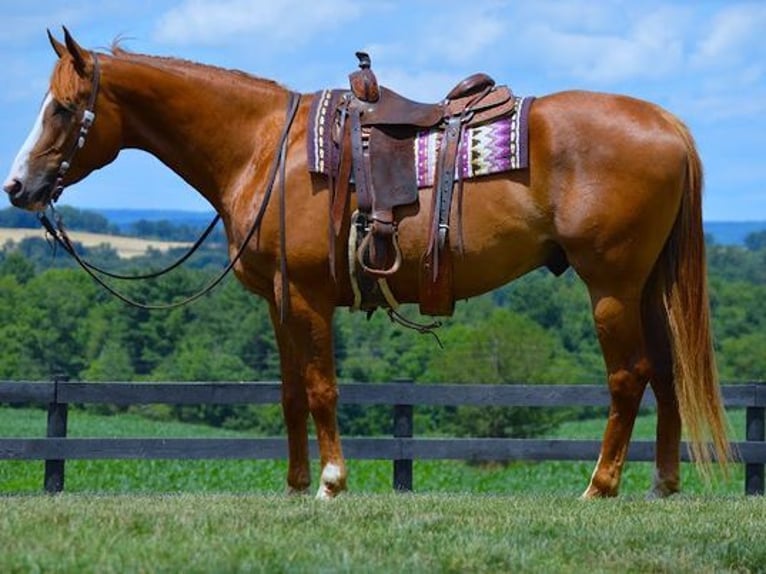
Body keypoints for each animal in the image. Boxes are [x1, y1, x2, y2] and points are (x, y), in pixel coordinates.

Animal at [3, 30, 732, 500]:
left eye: (62, 108)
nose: (16, 187)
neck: (264, 148)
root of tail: (667, 124)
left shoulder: (308, 296)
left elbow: (322, 388)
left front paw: (332, 482)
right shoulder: (278, 299)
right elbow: (290, 393)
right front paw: (296, 485)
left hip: (611, 286)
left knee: (628, 377)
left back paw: (600, 486)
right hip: (647, 288)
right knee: (666, 374)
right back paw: (664, 483)